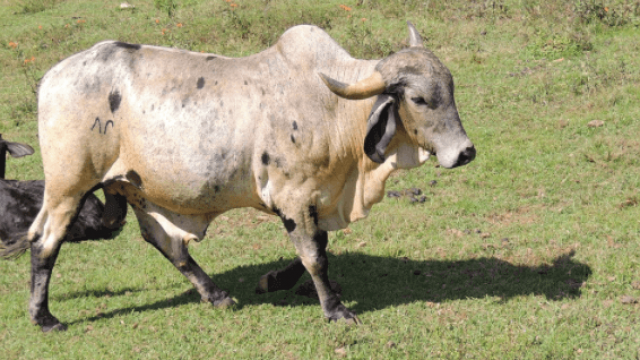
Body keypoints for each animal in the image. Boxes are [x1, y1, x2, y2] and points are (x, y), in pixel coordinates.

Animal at [2, 23, 476, 332]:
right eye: (419, 99)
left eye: (452, 88)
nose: (465, 152)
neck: (334, 108)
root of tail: (52, 77)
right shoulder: (292, 194)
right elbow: (315, 255)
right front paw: (334, 309)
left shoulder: (313, 197)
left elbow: (318, 245)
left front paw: (277, 281)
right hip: (68, 185)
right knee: (44, 241)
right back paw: (44, 317)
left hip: (132, 188)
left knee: (166, 243)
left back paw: (215, 294)